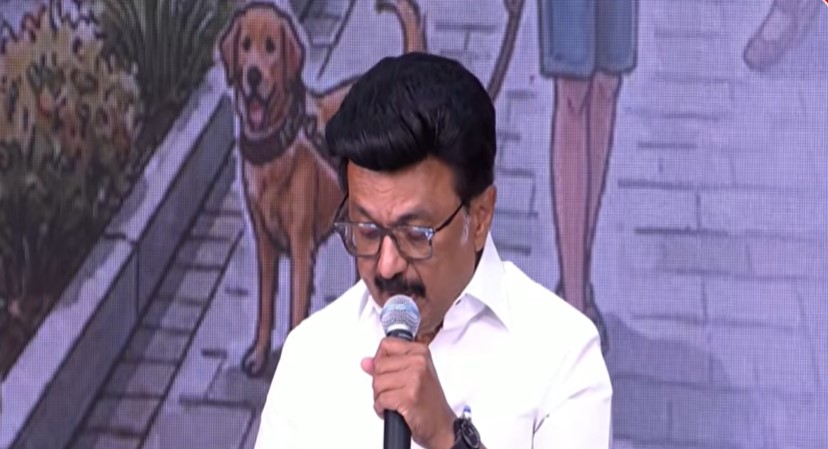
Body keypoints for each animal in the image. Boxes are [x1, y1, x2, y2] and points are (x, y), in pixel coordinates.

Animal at [219, 0, 426, 377]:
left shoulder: (301, 245)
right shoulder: (264, 243)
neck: (278, 147)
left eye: (271, 47)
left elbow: (296, 308)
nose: (253, 75)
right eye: (245, 45)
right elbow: (265, 308)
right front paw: (258, 355)